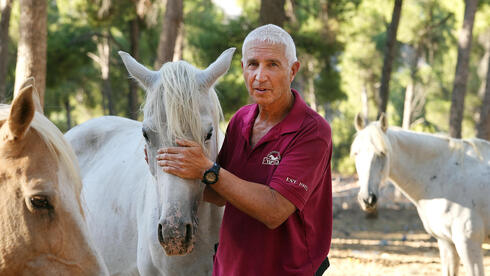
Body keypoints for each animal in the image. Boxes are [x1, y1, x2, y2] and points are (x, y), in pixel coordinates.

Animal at [352, 113, 490, 276]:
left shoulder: (468, 244)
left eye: (382, 153)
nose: (367, 199)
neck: (445, 176)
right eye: (356, 153)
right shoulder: (446, 242)